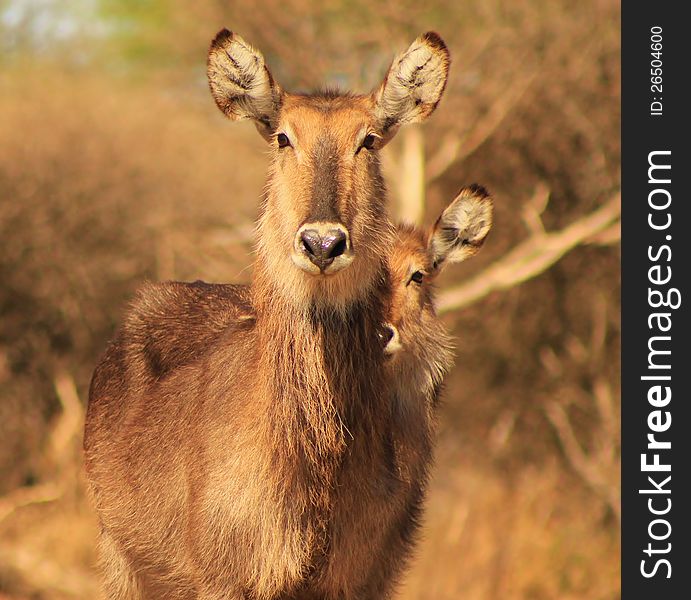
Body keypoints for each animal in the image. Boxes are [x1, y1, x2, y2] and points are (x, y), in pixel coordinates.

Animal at [84, 29, 452, 600]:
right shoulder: (225, 579)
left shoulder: (355, 582)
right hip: (124, 563)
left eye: (369, 139)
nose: (322, 242)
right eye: (283, 137)